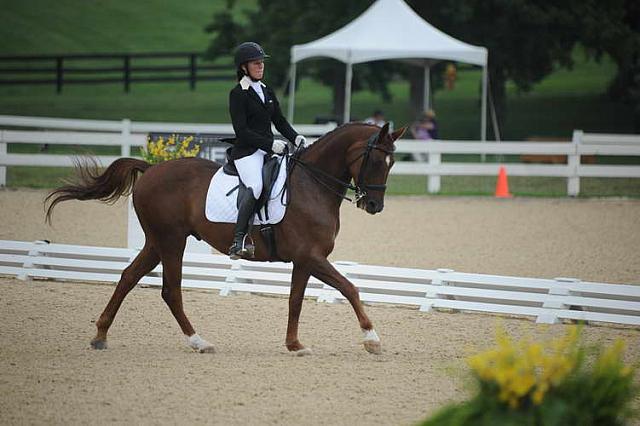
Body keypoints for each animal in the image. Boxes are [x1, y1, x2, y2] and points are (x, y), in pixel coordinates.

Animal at [45, 122, 404, 356]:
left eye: (393, 161)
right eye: (375, 160)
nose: (375, 205)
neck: (311, 184)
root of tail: (151, 169)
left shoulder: (305, 260)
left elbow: (295, 301)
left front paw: (294, 345)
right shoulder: (312, 257)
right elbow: (350, 288)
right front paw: (372, 339)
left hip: (156, 242)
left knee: (128, 277)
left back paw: (100, 335)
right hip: (171, 241)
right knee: (170, 291)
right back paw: (198, 341)